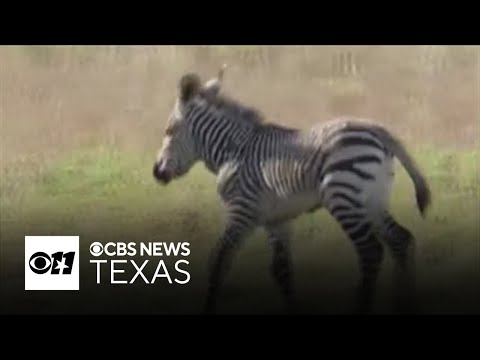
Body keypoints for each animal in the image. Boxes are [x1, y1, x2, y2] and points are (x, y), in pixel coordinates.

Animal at [153, 67, 432, 316]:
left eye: (168, 130)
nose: (156, 172)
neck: (233, 152)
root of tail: (378, 129)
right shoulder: (277, 220)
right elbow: (282, 271)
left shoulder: (242, 212)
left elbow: (218, 261)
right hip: (371, 200)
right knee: (402, 240)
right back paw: (405, 305)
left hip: (343, 197)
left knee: (371, 251)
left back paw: (363, 308)